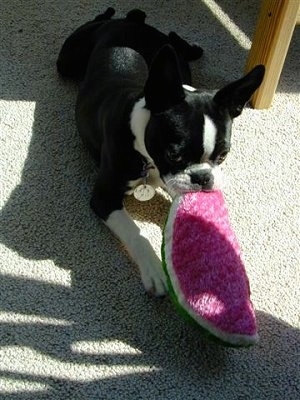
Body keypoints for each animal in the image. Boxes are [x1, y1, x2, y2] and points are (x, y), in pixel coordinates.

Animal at [58, 7, 264, 296]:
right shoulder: (104, 197)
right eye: (174, 155)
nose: (203, 178)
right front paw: (153, 270)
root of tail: (128, 23)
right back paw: (108, 13)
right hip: (67, 60)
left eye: (223, 156)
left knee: (172, 39)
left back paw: (187, 43)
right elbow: (137, 233)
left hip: (174, 58)